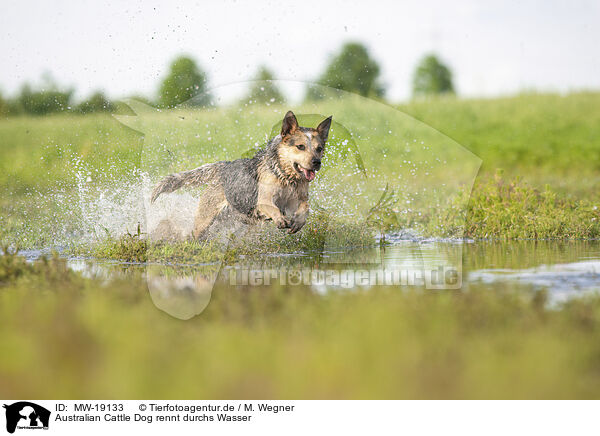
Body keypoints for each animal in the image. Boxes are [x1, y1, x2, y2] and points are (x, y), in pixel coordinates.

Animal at [148, 110, 330, 240]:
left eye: (319, 148)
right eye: (300, 147)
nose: (316, 162)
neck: (286, 177)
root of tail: (223, 166)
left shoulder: (299, 198)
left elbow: (305, 207)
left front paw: (298, 221)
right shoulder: (264, 199)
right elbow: (272, 207)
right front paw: (280, 219)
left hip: (227, 219)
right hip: (205, 220)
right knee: (195, 234)